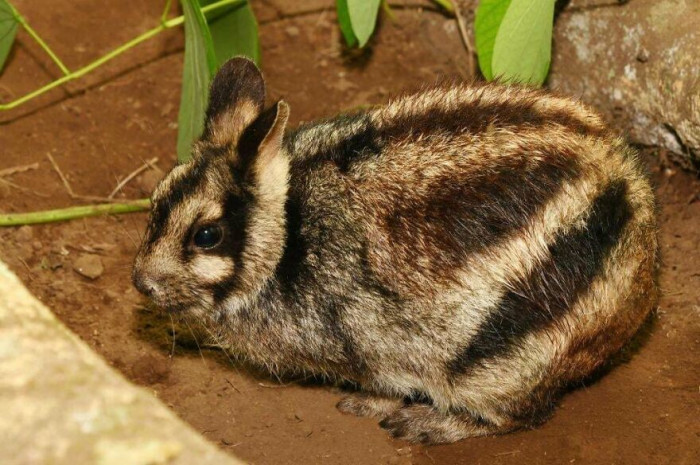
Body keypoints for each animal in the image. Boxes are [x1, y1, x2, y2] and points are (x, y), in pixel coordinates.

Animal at [132, 57, 658, 444]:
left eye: (206, 236)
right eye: (155, 201)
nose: (141, 282)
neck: (287, 237)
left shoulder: (378, 340)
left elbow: (387, 380)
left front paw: (384, 406)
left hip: (500, 354)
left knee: (521, 411)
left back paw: (436, 423)